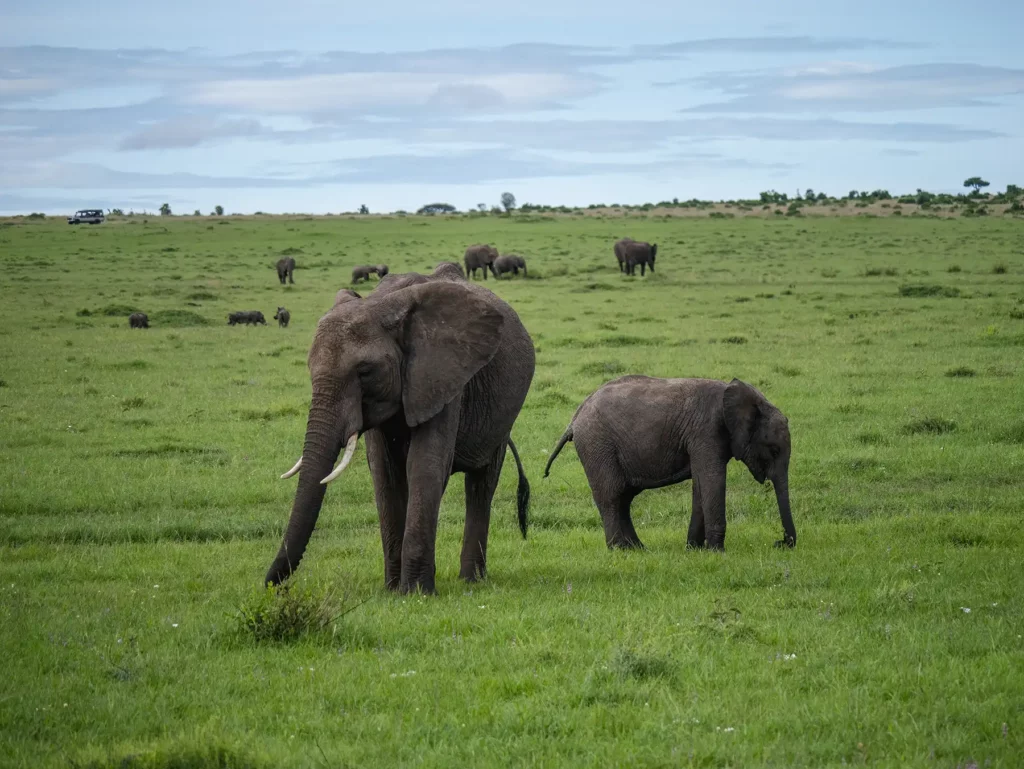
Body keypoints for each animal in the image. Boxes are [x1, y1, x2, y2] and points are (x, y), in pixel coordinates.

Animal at [267, 262, 536, 594]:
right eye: (309, 368)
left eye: (365, 371)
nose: (272, 586)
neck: (382, 305)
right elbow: (385, 472)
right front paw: (393, 590)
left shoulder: (442, 374)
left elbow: (425, 465)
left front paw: (417, 593)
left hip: (502, 414)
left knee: (481, 485)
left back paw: (471, 580)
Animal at [544, 376, 795, 552]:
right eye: (774, 450)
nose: (780, 543)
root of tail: (574, 419)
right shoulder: (706, 432)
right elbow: (712, 480)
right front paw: (717, 552)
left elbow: (700, 484)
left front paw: (694, 550)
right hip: (597, 445)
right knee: (612, 495)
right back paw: (619, 550)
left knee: (624, 496)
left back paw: (638, 549)